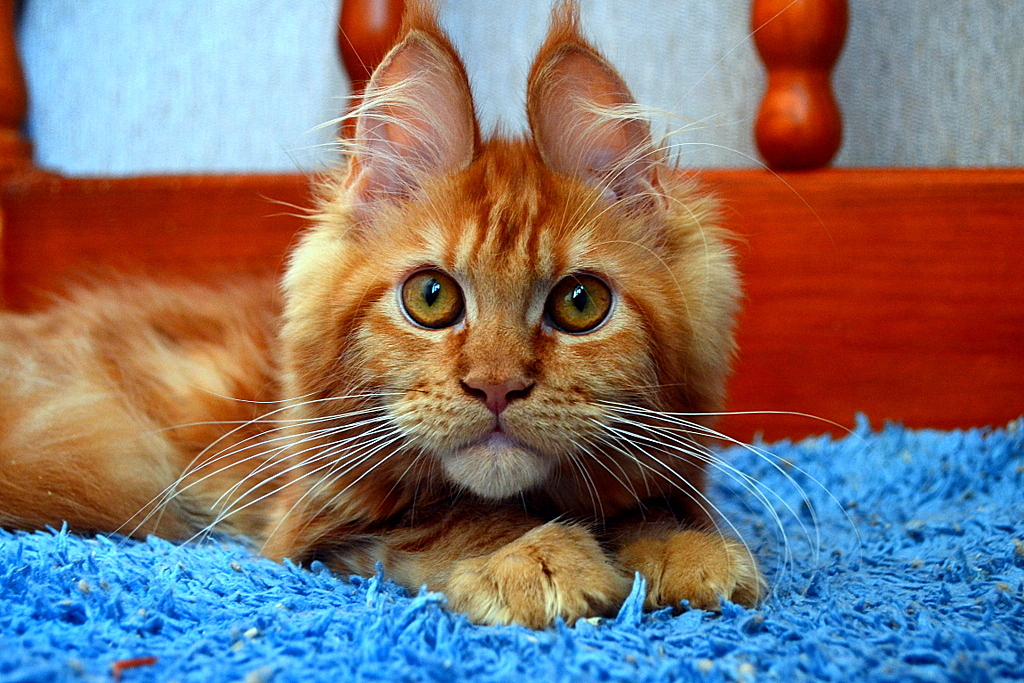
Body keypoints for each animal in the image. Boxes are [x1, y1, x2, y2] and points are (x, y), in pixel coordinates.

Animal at [0, 1, 765, 630]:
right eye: (432, 298)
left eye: (581, 304)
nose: (496, 386)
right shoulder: (309, 528)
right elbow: (452, 517)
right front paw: (534, 559)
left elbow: (647, 504)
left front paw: (685, 548)